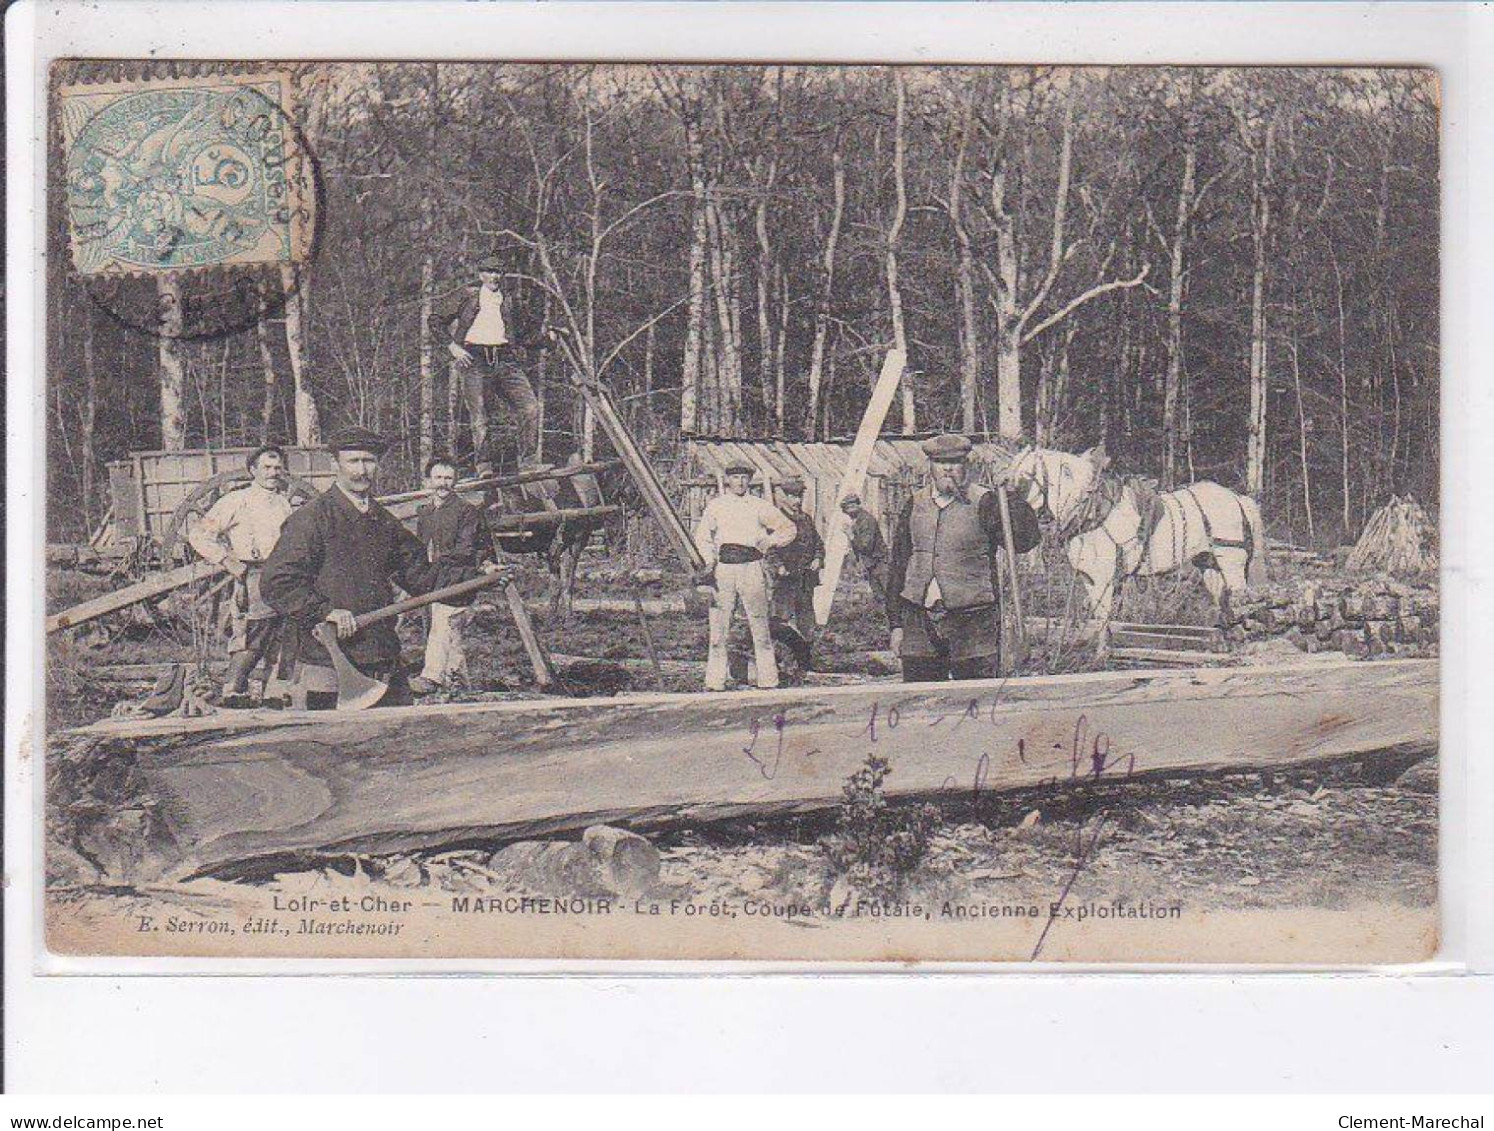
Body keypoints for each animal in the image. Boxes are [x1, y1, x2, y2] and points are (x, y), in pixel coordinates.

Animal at [1009, 442, 1266, 627]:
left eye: (1025, 476)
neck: (1091, 511)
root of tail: (1236, 498)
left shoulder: (1104, 580)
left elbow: (1102, 621)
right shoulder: (1088, 578)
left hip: (1231, 563)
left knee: (1239, 600)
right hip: (1209, 565)